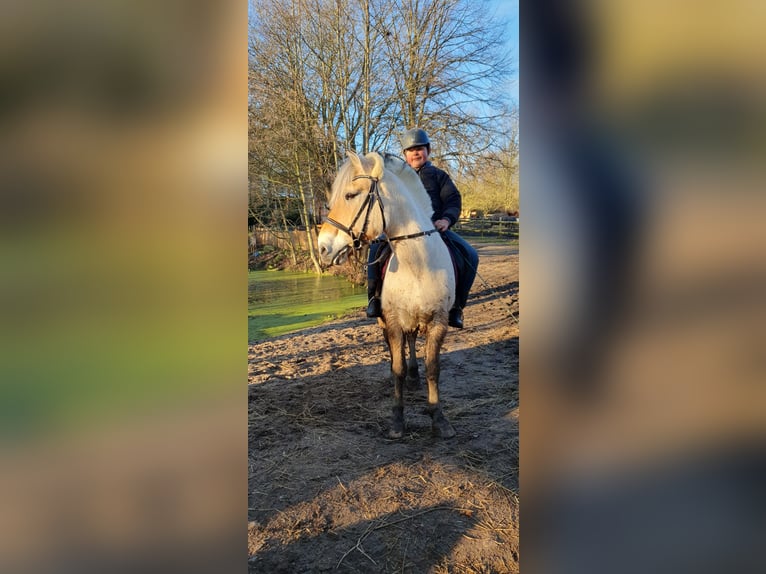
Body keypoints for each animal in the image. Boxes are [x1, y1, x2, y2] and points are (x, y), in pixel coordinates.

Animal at [316, 151, 456, 438]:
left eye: (350, 195)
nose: (322, 248)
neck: (418, 265)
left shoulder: (439, 322)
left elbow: (433, 369)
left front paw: (439, 418)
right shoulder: (392, 322)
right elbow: (397, 368)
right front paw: (397, 421)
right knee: (398, 351)